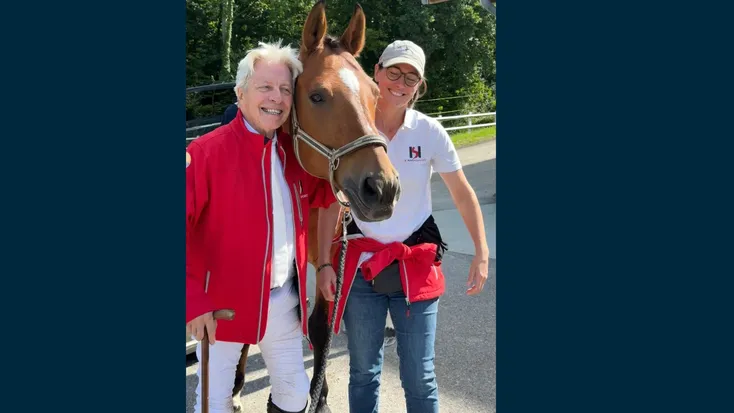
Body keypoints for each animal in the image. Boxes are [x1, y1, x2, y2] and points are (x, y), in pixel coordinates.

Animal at [228, 2, 399, 412]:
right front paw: (237, 385)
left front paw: (319, 397)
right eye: (318, 96)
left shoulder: (329, 256)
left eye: (375, 94)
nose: (382, 188)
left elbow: (320, 325)